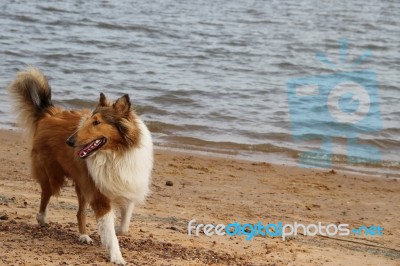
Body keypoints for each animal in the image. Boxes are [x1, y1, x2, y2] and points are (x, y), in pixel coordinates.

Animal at [9, 67, 153, 264]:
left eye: (97, 122)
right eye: (89, 120)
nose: (69, 142)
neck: (116, 153)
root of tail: (49, 112)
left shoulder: (127, 187)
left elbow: (123, 226)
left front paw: (116, 230)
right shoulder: (100, 196)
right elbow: (110, 231)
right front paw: (116, 256)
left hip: (83, 183)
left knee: (79, 212)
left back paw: (83, 235)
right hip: (54, 175)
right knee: (46, 194)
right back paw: (42, 218)